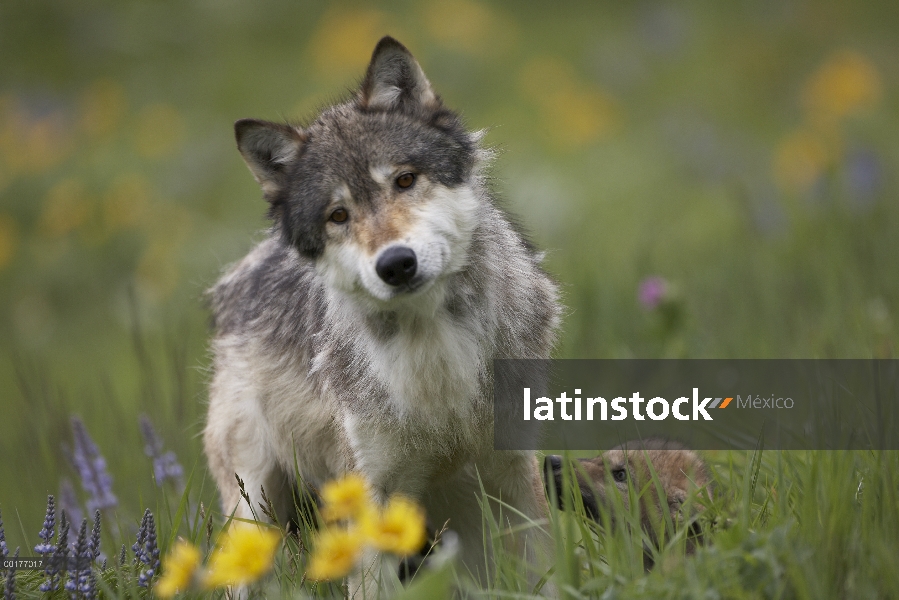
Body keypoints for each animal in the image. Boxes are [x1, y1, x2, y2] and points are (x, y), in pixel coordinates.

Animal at [207, 36, 564, 584]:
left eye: (404, 180)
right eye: (338, 216)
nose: (396, 264)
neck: (433, 347)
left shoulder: (514, 472)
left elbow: (544, 574)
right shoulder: (368, 499)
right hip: (255, 513)